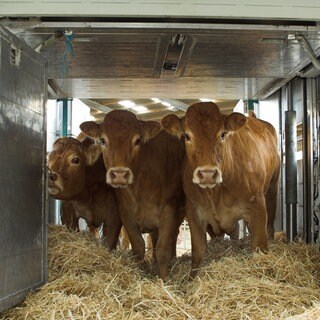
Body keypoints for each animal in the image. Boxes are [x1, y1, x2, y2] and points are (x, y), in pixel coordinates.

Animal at [80, 110, 185, 280]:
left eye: (137, 141)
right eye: (103, 140)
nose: (119, 174)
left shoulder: (170, 210)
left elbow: (163, 249)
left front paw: (164, 280)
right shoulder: (125, 212)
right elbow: (138, 247)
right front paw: (142, 274)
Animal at [162, 102, 280, 278]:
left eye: (223, 134)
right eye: (187, 136)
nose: (207, 174)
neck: (216, 193)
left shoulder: (257, 205)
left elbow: (260, 245)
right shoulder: (194, 212)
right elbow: (198, 252)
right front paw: (192, 279)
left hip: (272, 187)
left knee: (270, 224)